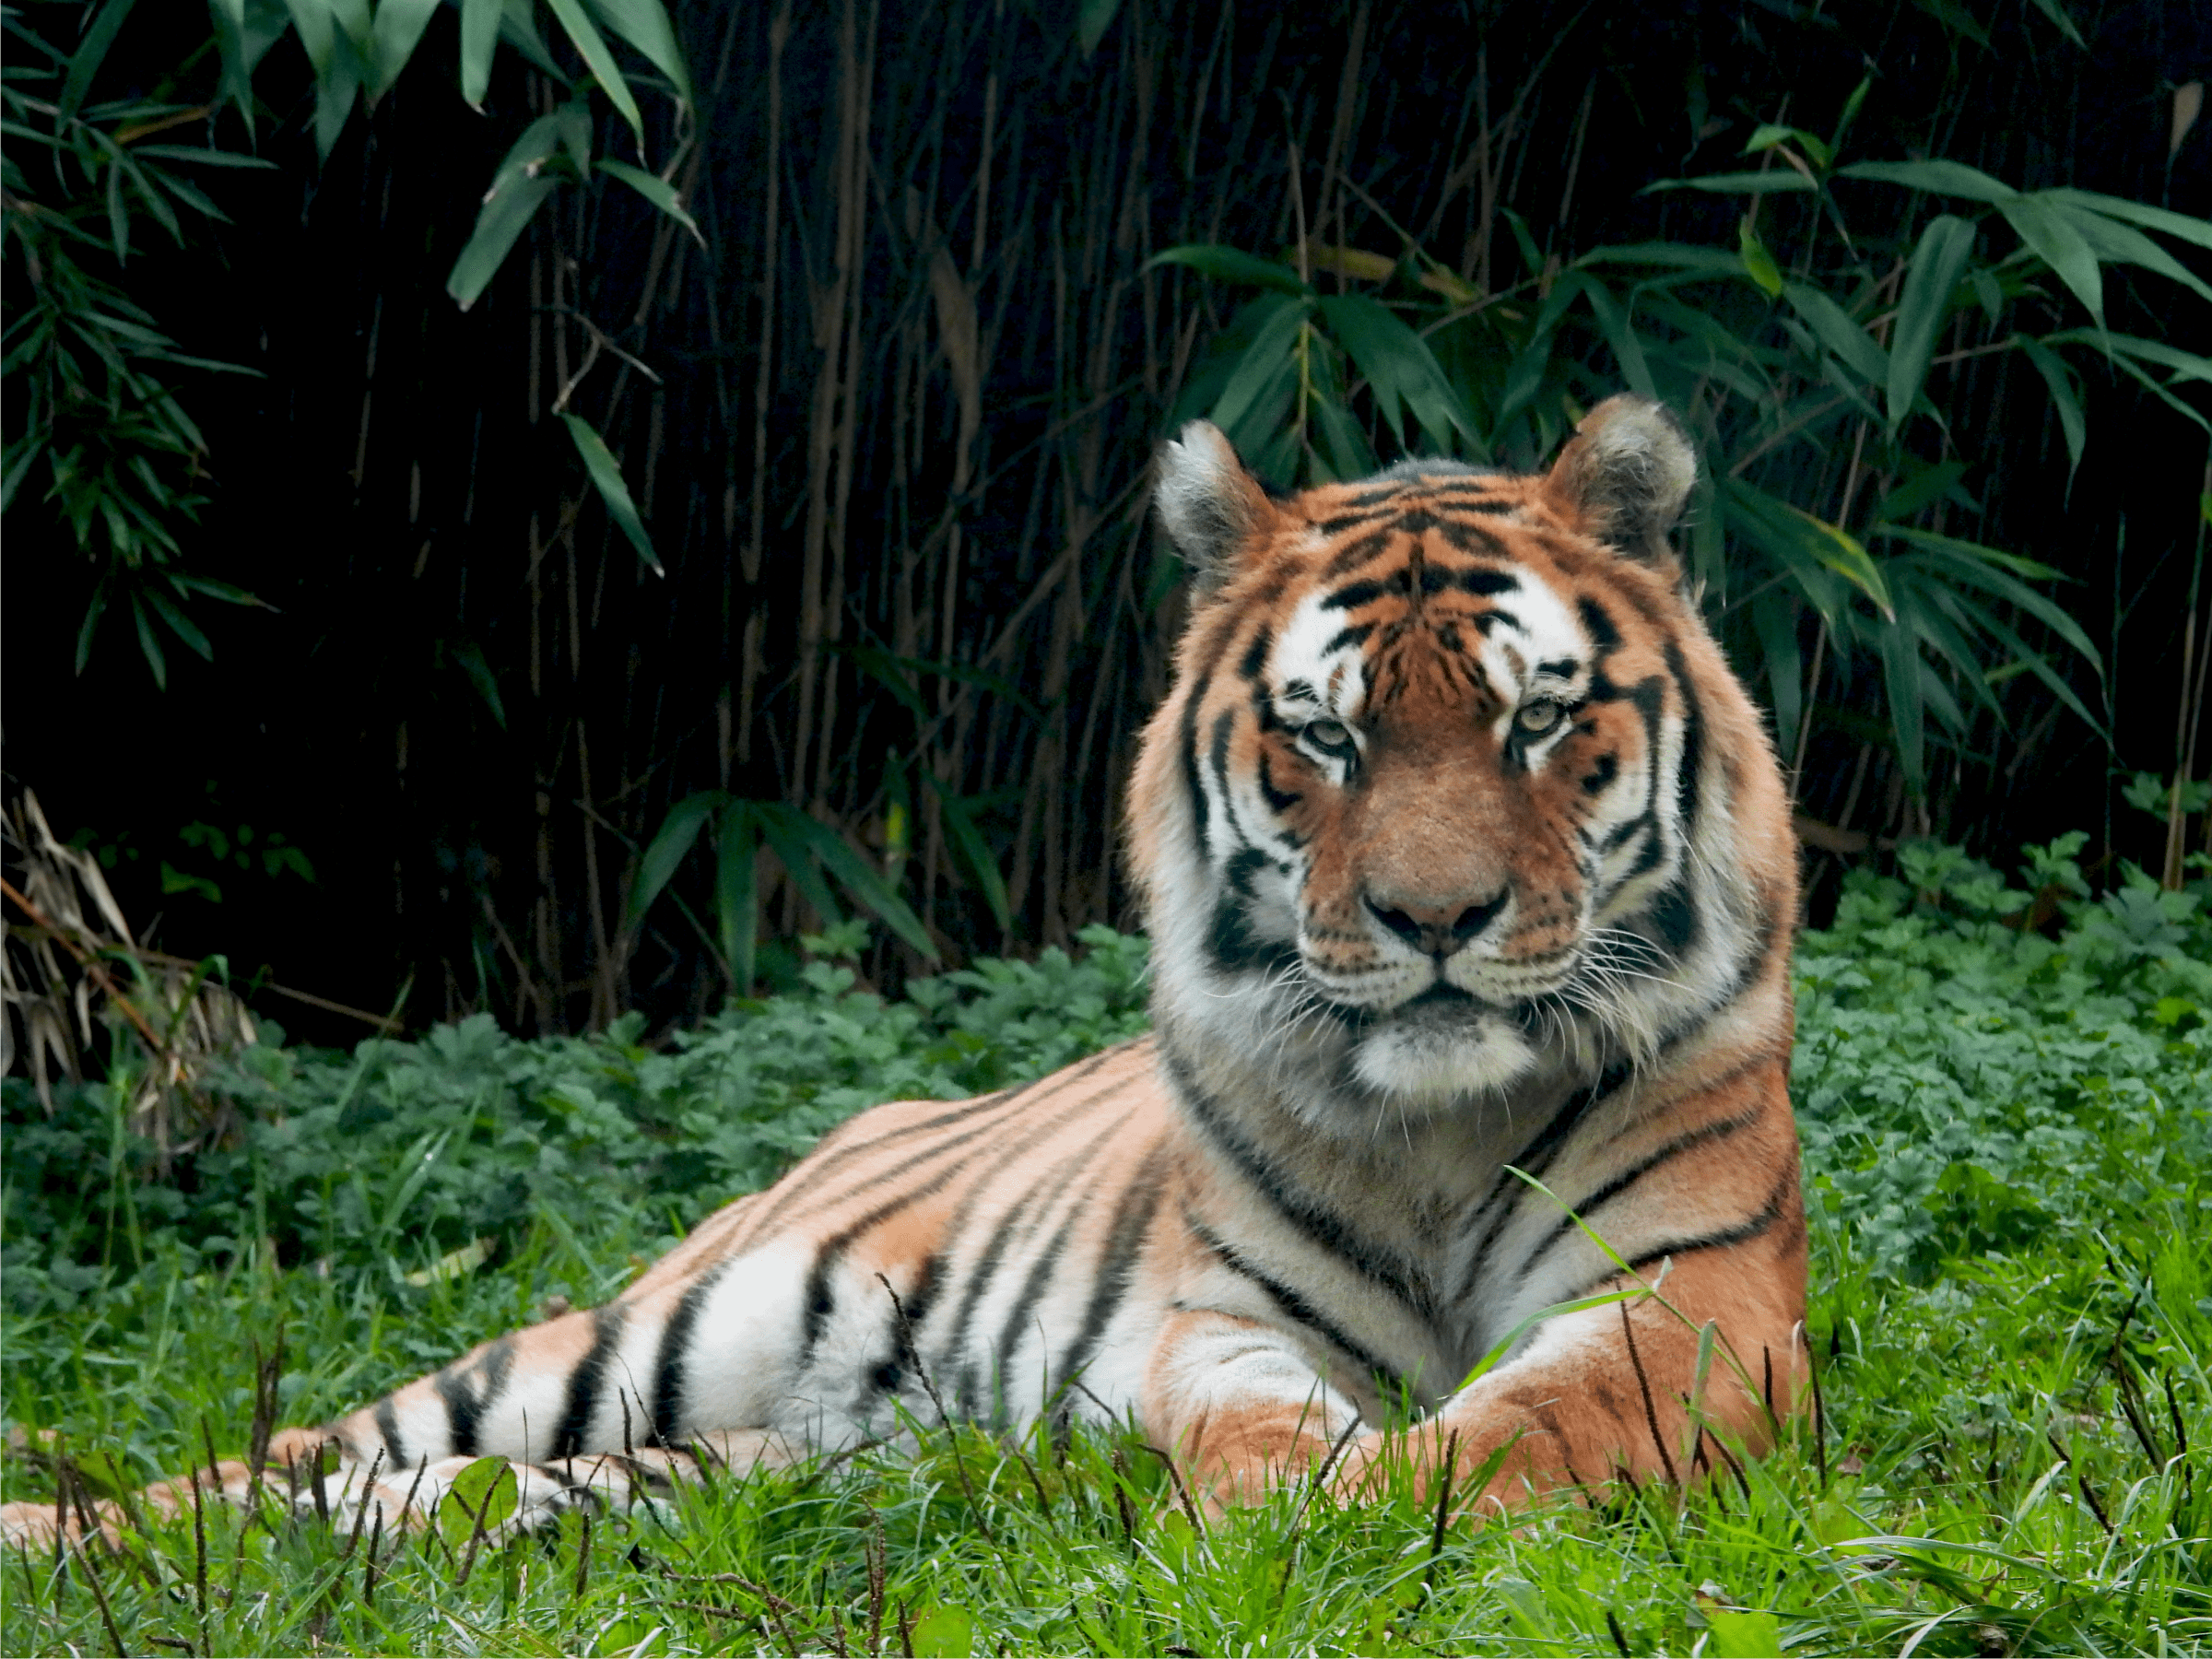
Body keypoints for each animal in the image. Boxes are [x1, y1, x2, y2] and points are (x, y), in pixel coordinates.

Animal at [2, 394, 1806, 1545]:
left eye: (1537, 720)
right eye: (1325, 736)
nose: (1438, 922)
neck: (1432, 1129)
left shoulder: (1696, 1295)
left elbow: (1534, 1420)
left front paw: (1391, 1499)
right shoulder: (1220, 1314)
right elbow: (1250, 1420)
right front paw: (1304, 1505)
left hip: (749, 1453)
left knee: (410, 1499)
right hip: (630, 1339)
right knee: (277, 1462)